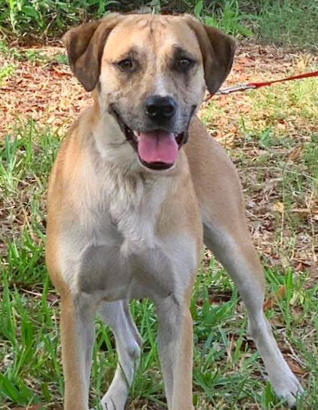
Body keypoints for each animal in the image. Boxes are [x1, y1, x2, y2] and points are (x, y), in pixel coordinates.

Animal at [45, 12, 304, 410]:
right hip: (105, 294)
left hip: (237, 250)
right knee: (132, 343)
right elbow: (77, 391)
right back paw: (115, 396)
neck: (131, 179)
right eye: (126, 63)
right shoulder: (77, 302)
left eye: (184, 61)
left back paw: (284, 382)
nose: (161, 107)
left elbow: (180, 391)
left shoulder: (174, 307)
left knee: (257, 320)